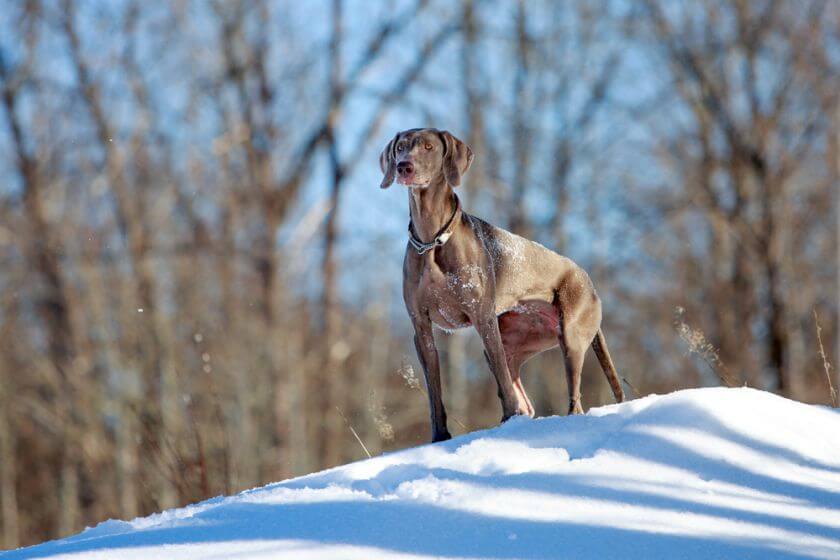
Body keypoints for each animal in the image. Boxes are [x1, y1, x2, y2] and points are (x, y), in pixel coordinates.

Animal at [380, 127, 624, 442]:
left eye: (429, 147)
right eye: (400, 147)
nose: (404, 167)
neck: (432, 238)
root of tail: (590, 283)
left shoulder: (483, 318)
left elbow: (501, 378)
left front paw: (509, 419)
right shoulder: (421, 327)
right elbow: (434, 390)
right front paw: (440, 437)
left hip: (570, 336)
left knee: (572, 398)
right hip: (519, 340)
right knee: (523, 393)